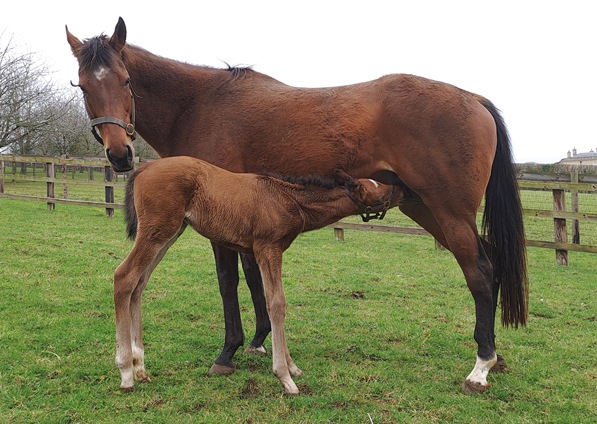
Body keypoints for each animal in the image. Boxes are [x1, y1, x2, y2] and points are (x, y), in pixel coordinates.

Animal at [115, 155, 400, 394]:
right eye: (375, 187)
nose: (401, 189)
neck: (286, 199)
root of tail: (143, 168)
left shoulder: (265, 252)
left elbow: (270, 300)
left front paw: (292, 366)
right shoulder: (268, 248)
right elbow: (277, 303)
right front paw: (285, 376)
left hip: (170, 233)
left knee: (139, 284)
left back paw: (140, 367)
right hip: (157, 231)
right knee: (124, 277)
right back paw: (126, 371)